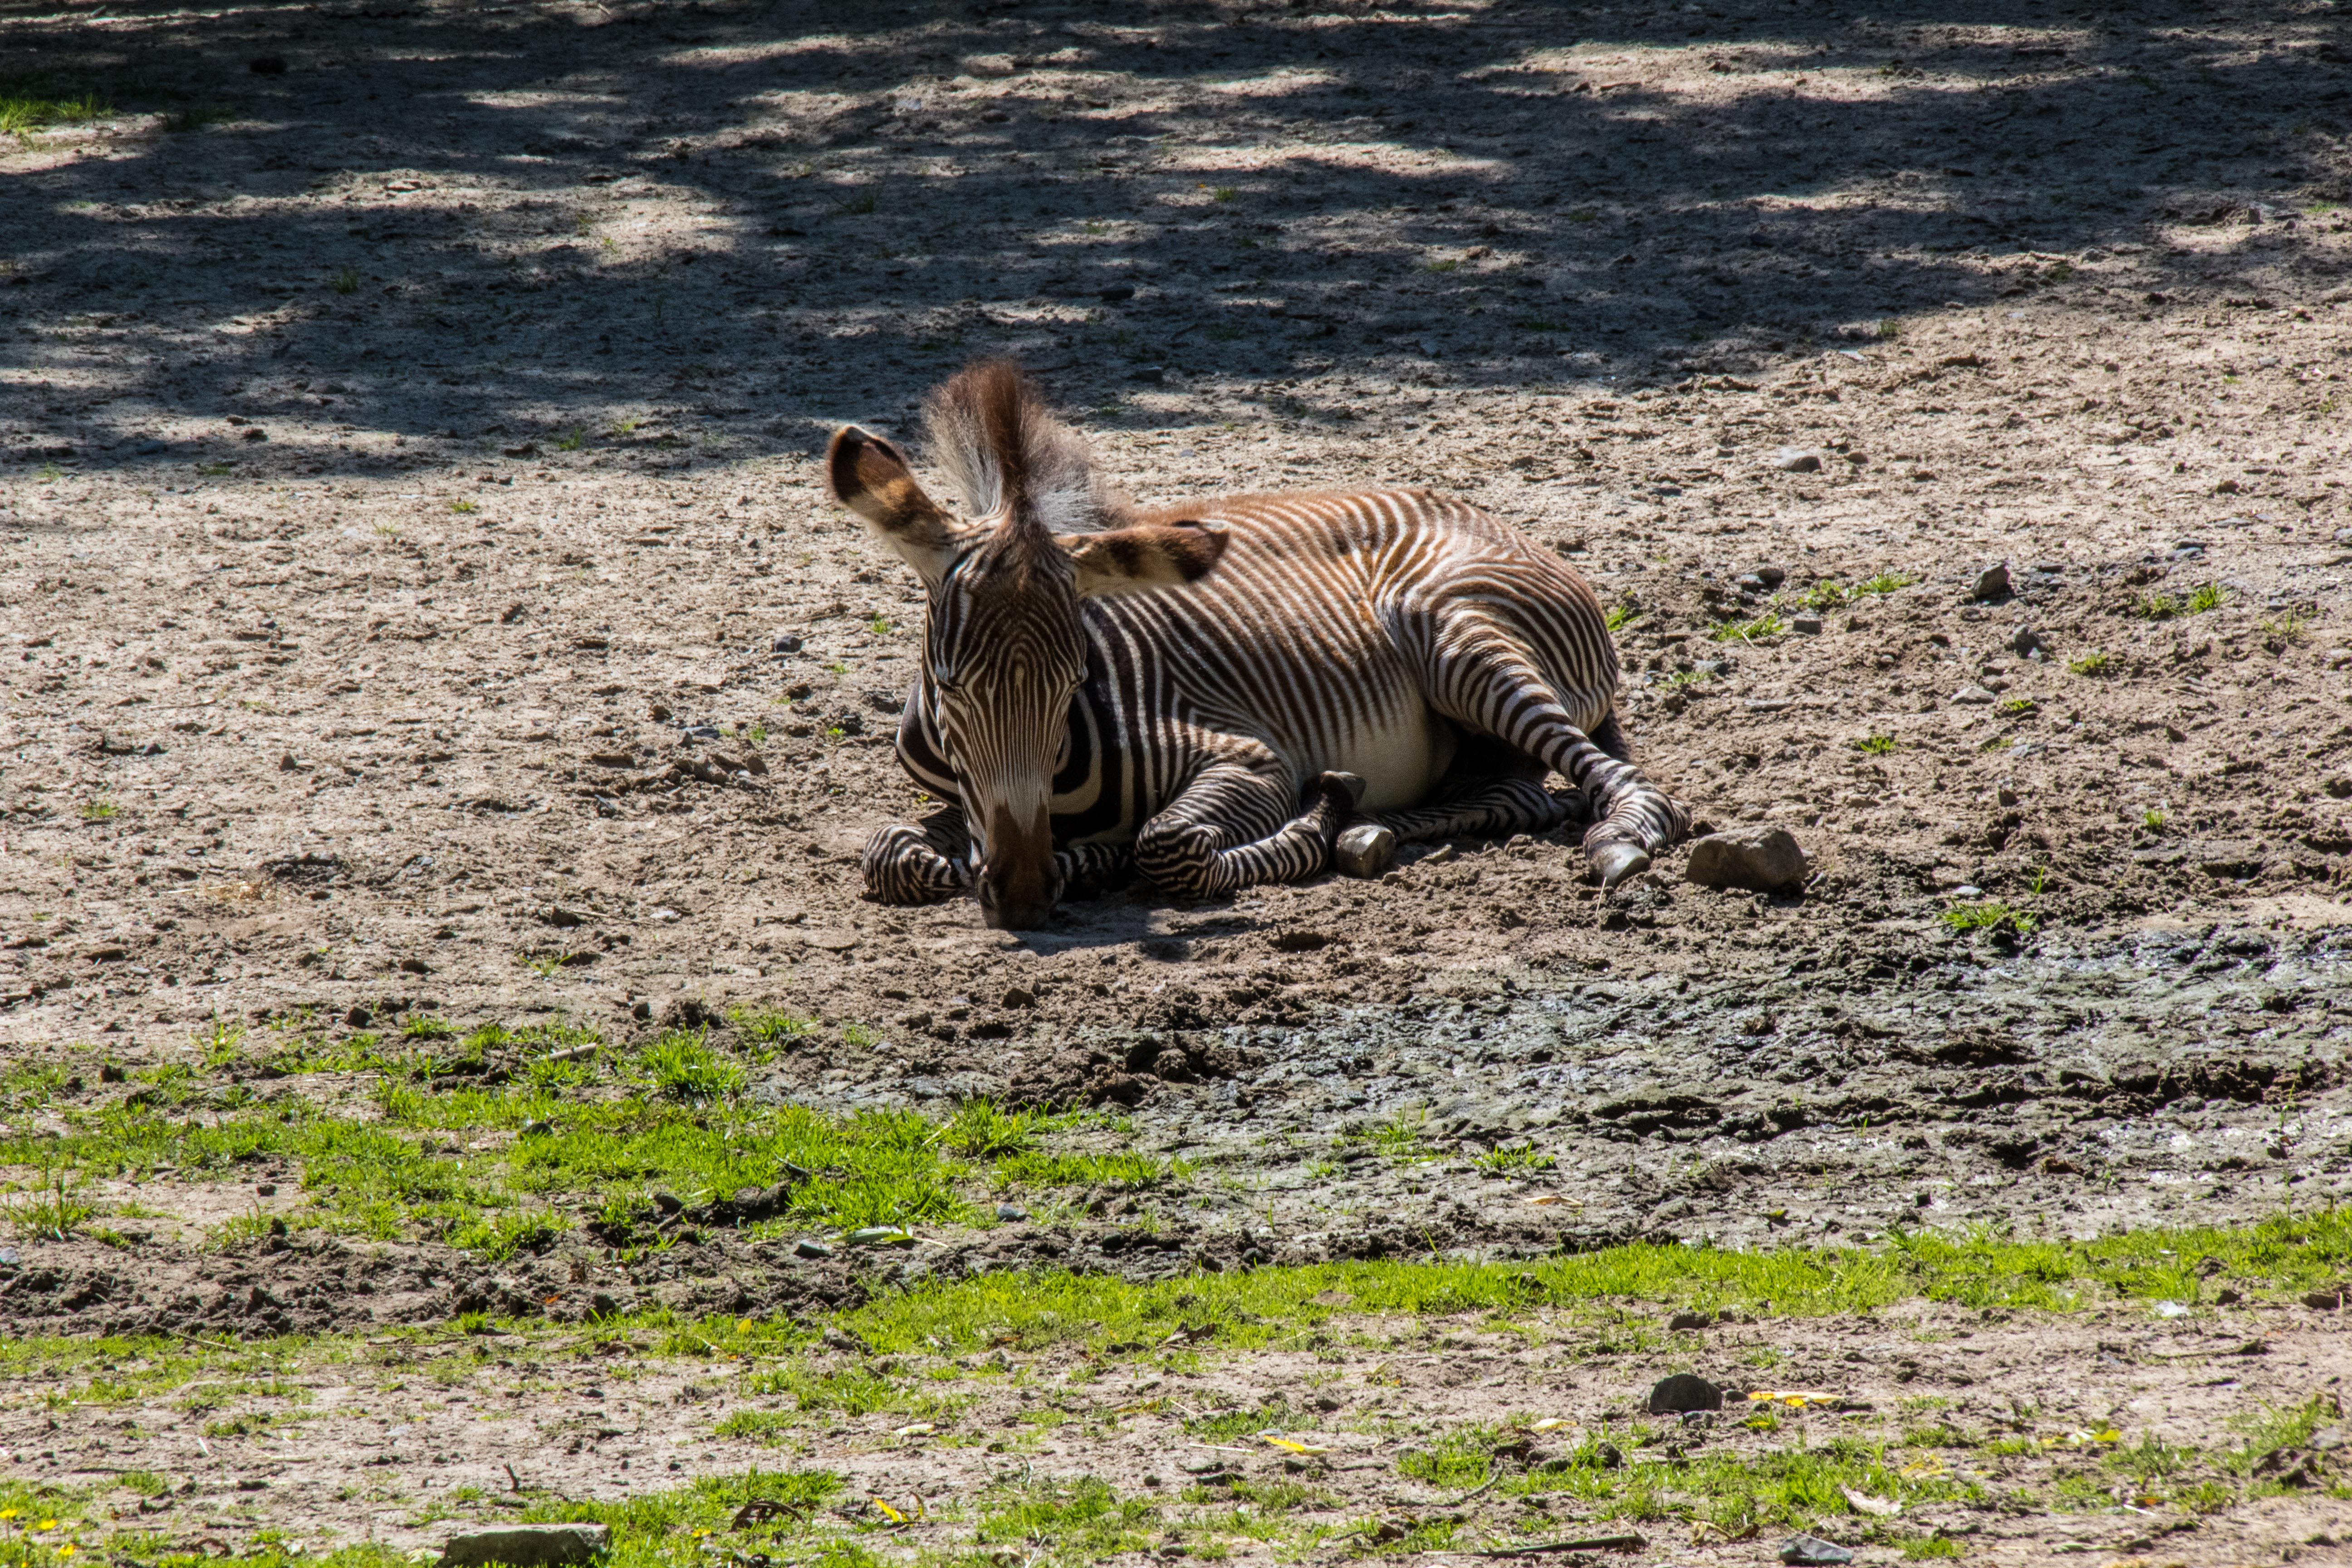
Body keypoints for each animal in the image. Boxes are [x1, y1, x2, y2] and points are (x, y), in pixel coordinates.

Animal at [828, 364, 1693, 931]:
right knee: (1517, 794)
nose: (1023, 896)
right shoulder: (968, 799)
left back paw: (1617, 841)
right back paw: (1363, 830)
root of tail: (1483, 513)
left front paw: (1103, 861)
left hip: (1457, 634)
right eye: (950, 687)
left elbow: (1167, 845)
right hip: (1473, 736)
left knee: (1624, 785)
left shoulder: (1252, 758)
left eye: (1073, 682)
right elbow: (890, 855)